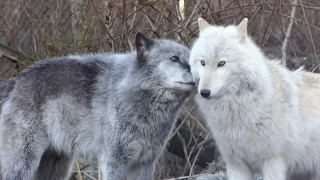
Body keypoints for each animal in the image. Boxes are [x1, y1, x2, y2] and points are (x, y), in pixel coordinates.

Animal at [0, 32, 195, 180]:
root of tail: (15, 81)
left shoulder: (145, 163)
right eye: (174, 58)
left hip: (56, 165)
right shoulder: (113, 160)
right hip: (24, 161)